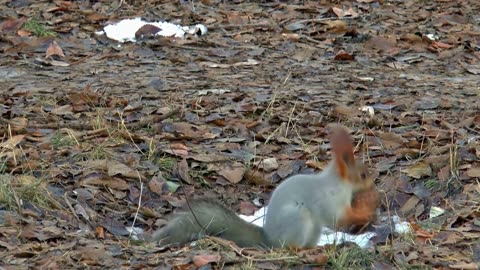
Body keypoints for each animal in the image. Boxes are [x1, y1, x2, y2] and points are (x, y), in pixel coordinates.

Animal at [153, 124, 378, 249]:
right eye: (363, 174)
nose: (373, 184)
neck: (338, 182)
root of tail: (270, 241)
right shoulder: (326, 199)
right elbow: (336, 217)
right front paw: (365, 213)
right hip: (298, 219)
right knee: (290, 247)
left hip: (313, 229)